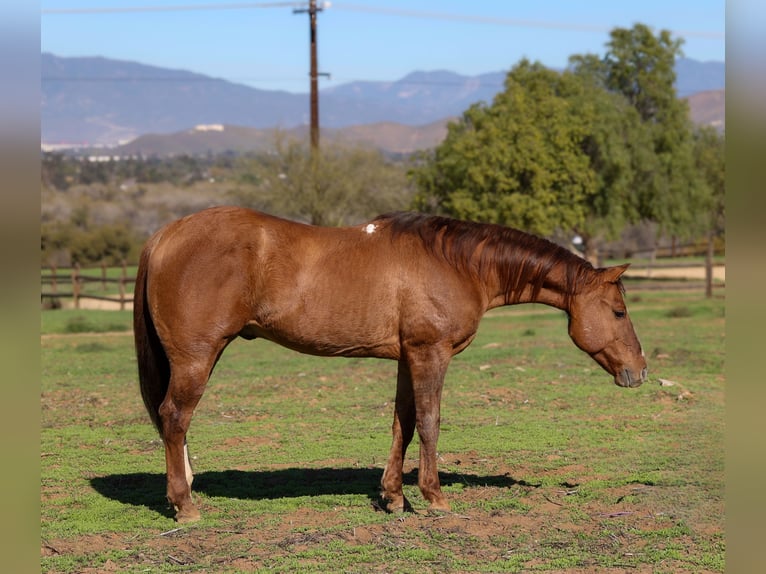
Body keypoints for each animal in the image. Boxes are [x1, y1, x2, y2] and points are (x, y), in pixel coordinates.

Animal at [134, 206, 647, 522]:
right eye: (619, 312)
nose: (639, 371)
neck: (457, 264)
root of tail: (163, 236)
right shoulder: (430, 352)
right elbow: (430, 421)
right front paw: (434, 497)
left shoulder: (407, 356)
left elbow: (403, 422)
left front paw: (395, 496)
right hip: (197, 357)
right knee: (174, 417)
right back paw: (185, 506)